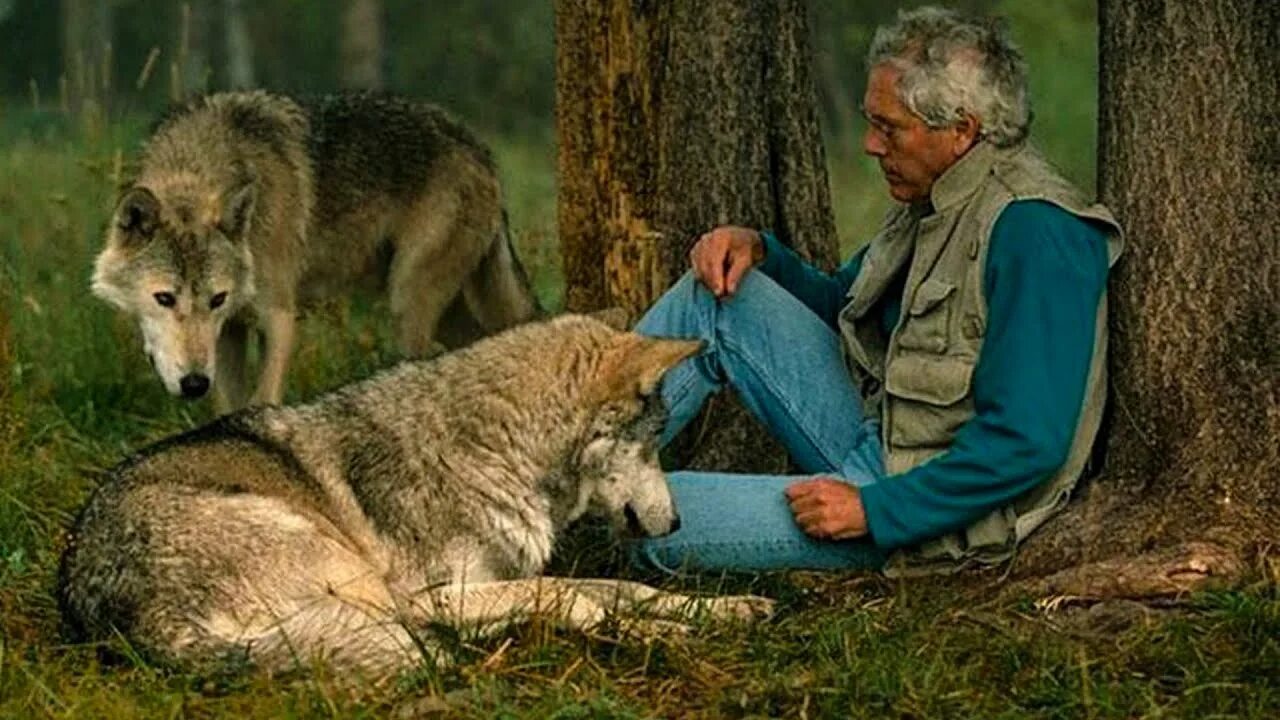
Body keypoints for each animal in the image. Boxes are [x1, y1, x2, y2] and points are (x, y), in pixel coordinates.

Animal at [57, 315, 768, 676]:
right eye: (655, 442)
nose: (675, 524)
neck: (494, 451)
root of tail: (125, 623)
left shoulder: (500, 577)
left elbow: (623, 588)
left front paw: (719, 610)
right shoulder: (436, 595)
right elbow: (571, 596)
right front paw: (663, 638)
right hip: (360, 581)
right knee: (421, 641)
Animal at [92, 89, 542, 409]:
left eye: (216, 299)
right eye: (164, 298)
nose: (194, 383)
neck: (200, 165)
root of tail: (479, 147)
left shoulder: (278, 317)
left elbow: (262, 400)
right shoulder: (230, 332)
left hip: (407, 305)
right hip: (449, 313)